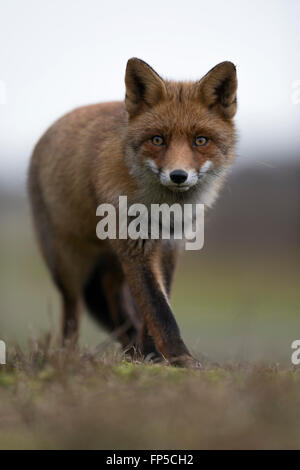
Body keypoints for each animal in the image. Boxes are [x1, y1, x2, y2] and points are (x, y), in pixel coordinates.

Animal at [29, 57, 238, 368]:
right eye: (157, 140)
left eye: (200, 140)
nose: (178, 175)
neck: (164, 210)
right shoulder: (136, 245)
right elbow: (159, 310)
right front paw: (180, 358)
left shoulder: (169, 246)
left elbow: (157, 305)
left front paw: (153, 355)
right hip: (66, 262)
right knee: (71, 310)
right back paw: (68, 356)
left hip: (111, 260)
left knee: (110, 289)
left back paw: (132, 350)